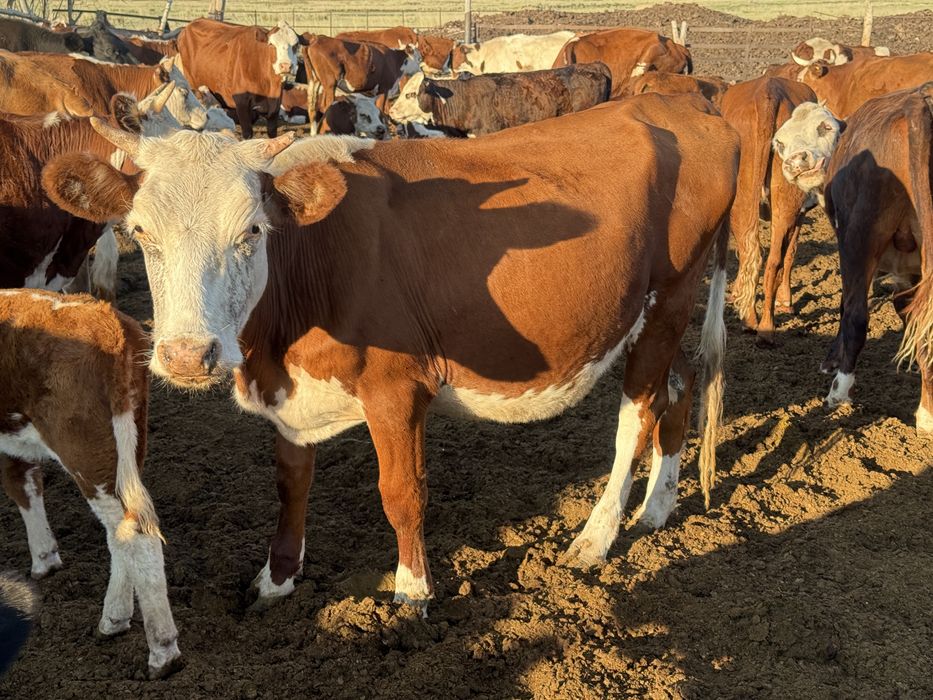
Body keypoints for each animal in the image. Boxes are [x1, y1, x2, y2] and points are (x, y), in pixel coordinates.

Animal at [0, 289, 180, 678]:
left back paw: (163, 652)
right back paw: (114, 619)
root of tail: (107, 320)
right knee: (123, 529)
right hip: (126, 448)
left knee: (135, 534)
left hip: (86, 450)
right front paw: (45, 560)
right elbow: (24, 485)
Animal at [43, 93, 738, 612]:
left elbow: (402, 492)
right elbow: (291, 484)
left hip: (670, 297)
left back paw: (596, 537)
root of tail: (691, 108)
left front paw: (412, 591)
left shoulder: (397, 390)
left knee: (637, 415)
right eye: (140, 233)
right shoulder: (291, 393)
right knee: (677, 390)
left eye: (252, 230)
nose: (189, 356)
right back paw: (657, 507)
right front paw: (277, 578)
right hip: (659, 314)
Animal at [720, 76, 820, 343]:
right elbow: (791, 254)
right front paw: (786, 300)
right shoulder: (800, 214)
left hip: (743, 201)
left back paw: (752, 321)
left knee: (752, 253)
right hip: (787, 207)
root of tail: (769, 91)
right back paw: (766, 328)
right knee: (774, 260)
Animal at [773, 85, 933, 427]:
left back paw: (839, 390)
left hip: (858, 241)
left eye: (825, 127)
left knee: (857, 315)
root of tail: (917, 106)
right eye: (780, 142)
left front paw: (832, 362)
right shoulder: (908, 274)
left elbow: (847, 306)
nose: (796, 161)